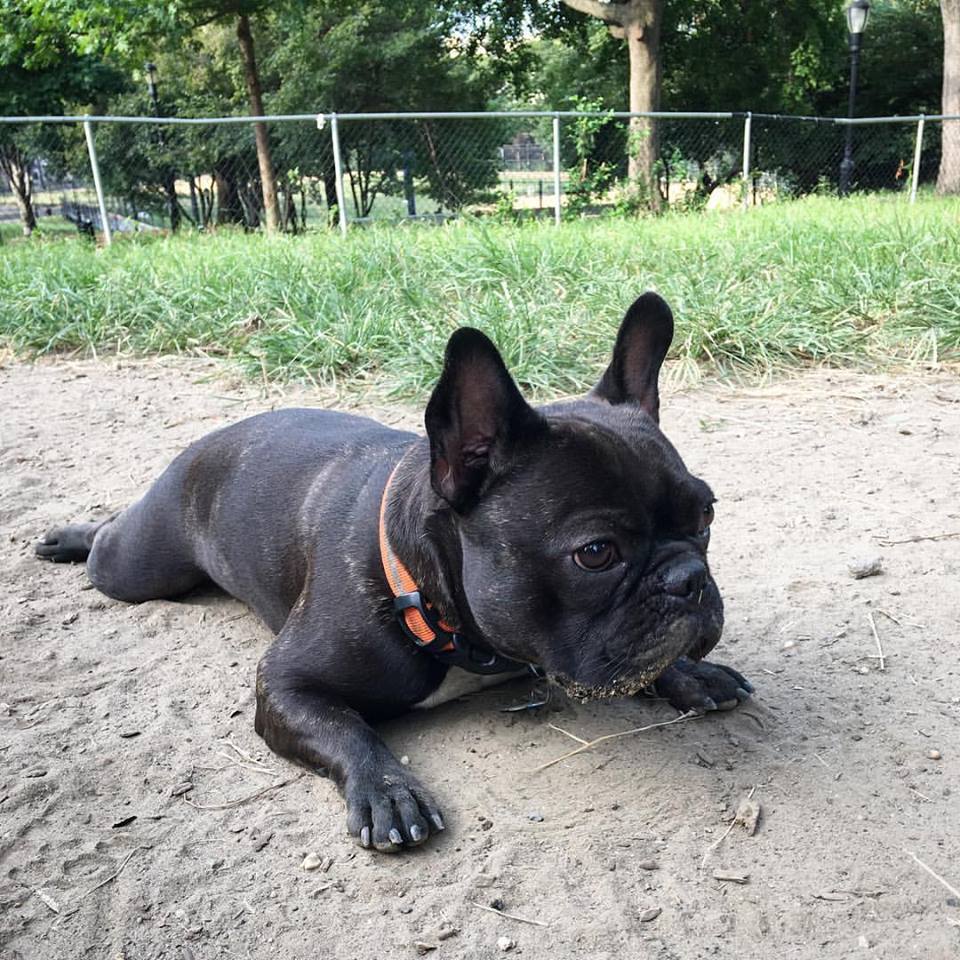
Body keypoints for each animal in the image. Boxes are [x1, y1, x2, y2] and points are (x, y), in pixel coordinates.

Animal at [36, 292, 751, 853]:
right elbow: (345, 727)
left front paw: (692, 674)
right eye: (596, 553)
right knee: (110, 543)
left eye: (707, 513)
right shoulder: (285, 683)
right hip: (139, 566)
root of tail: (215, 436)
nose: (689, 578)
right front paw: (387, 791)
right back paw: (68, 537)